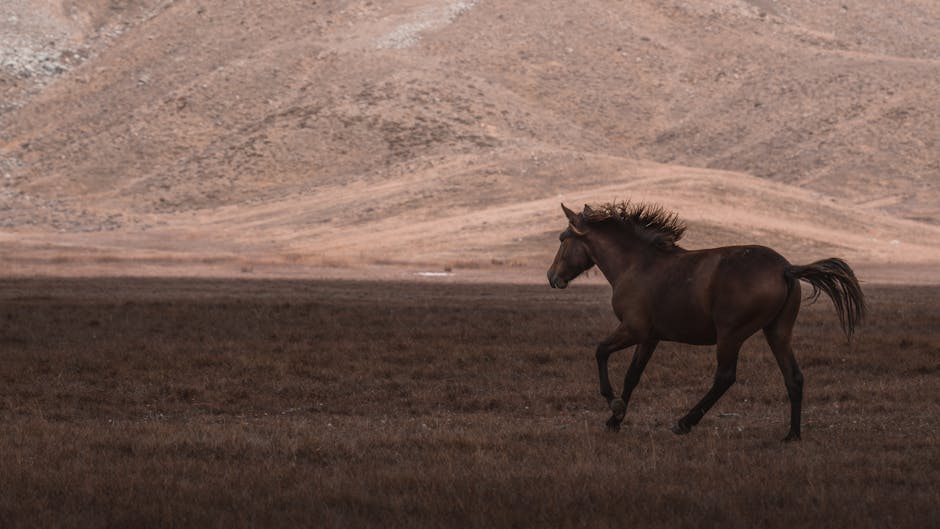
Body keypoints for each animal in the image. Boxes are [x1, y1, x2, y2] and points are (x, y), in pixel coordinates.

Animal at [546, 202, 865, 441]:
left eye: (563, 240)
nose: (551, 277)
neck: (636, 264)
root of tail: (786, 269)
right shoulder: (650, 337)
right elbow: (632, 376)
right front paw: (616, 418)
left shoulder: (633, 329)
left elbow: (600, 352)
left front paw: (614, 405)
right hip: (777, 332)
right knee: (794, 377)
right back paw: (792, 435)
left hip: (730, 335)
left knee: (725, 377)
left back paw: (684, 422)